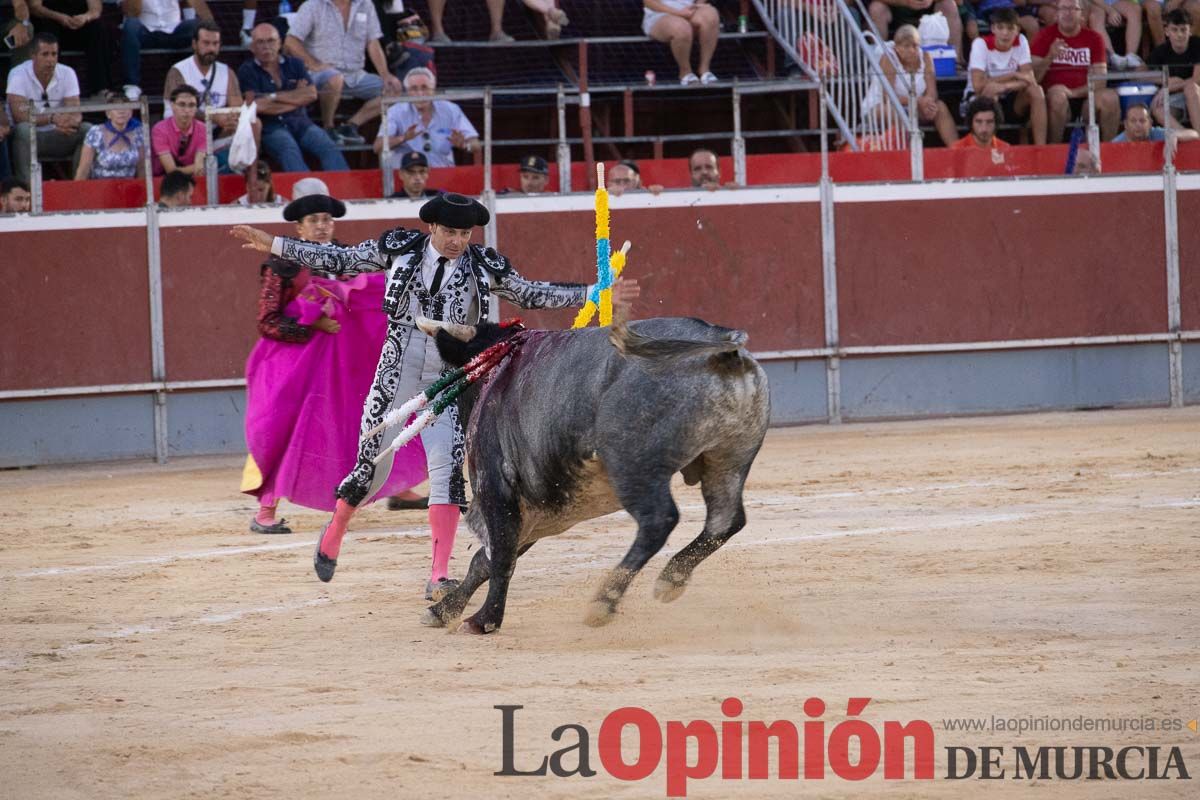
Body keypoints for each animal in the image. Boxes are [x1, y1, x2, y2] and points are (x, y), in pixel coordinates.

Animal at [415, 303, 768, 633]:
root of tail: (721, 344)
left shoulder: (497, 486)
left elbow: (500, 556)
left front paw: (484, 619)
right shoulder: (538, 510)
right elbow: (485, 560)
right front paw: (442, 610)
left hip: (632, 467)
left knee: (659, 520)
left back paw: (604, 601)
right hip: (729, 459)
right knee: (724, 520)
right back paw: (672, 578)